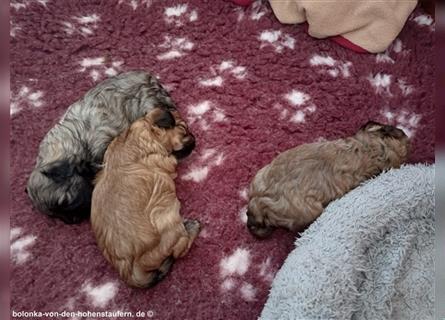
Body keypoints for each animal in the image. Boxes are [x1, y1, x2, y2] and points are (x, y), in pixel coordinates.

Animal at [26, 71, 177, 224]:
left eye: (65, 200)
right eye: (55, 215)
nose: (74, 220)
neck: (76, 141)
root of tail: (150, 77)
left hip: (148, 103)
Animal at [91, 107, 199, 288]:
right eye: (184, 129)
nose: (194, 138)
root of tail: (130, 272)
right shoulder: (165, 159)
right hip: (167, 216)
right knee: (179, 249)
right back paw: (192, 227)